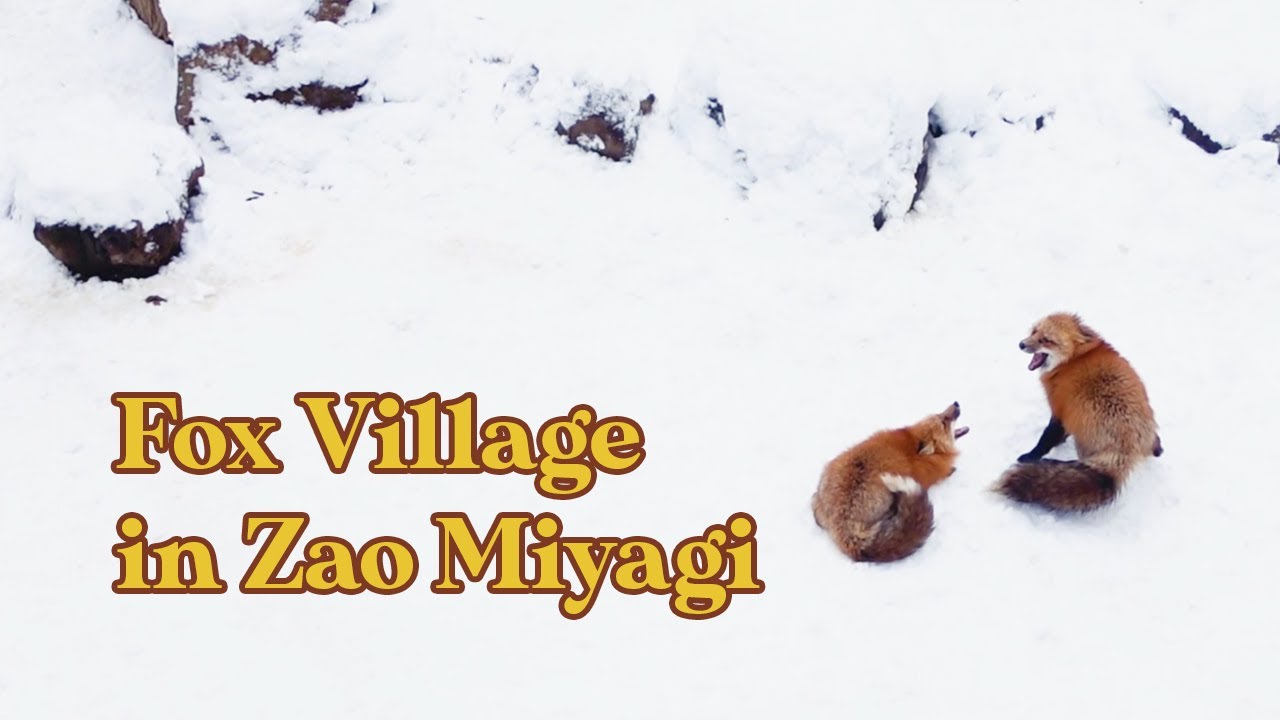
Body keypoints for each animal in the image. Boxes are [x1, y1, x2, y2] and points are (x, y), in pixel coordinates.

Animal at [995, 313, 1162, 513]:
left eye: (1047, 340)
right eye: (1034, 332)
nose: (1021, 344)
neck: (1072, 359)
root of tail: (1125, 450)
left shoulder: (1060, 409)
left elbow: (1046, 439)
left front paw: (1030, 457)